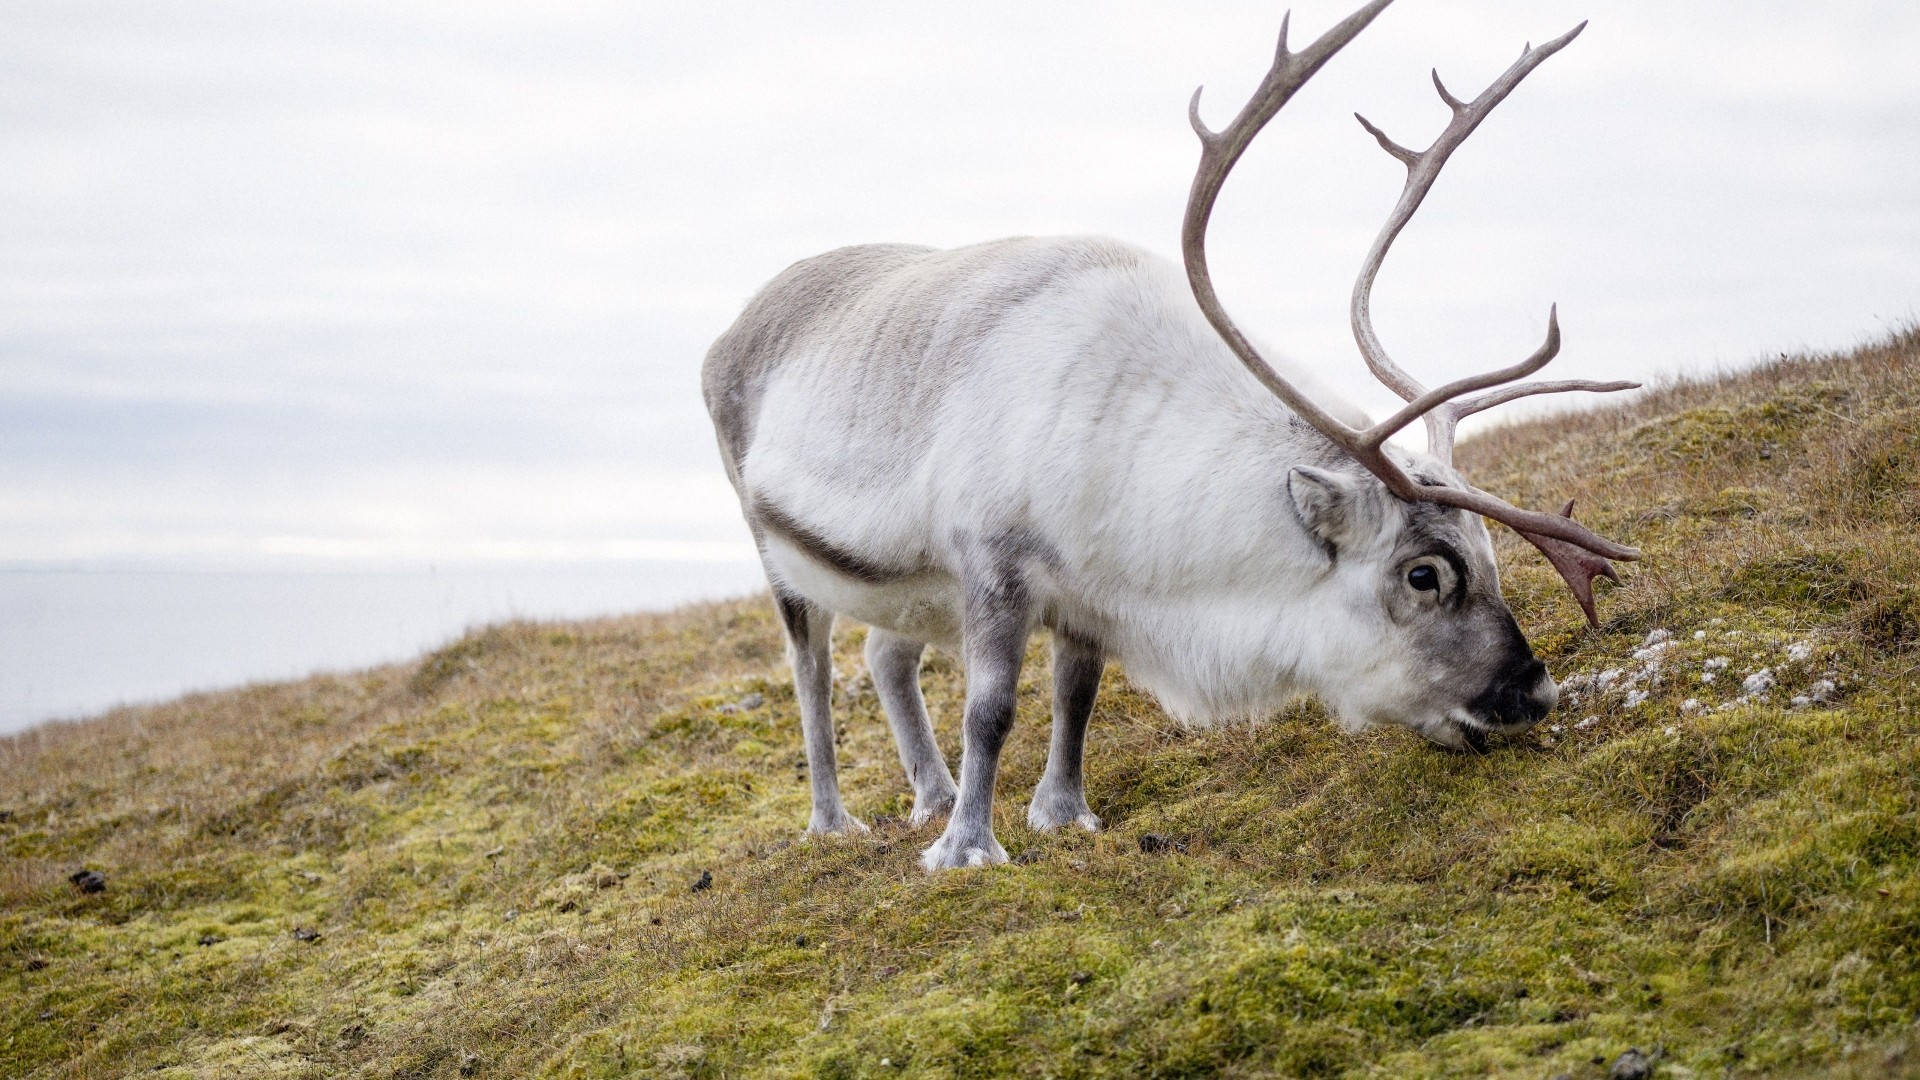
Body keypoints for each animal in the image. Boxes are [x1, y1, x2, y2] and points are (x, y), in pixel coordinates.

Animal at [701, 0, 1639, 871]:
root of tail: (732, 328)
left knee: (884, 653)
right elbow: (992, 709)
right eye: (1424, 575)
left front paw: (1062, 813)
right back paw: (836, 819)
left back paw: (928, 794)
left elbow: (1076, 695)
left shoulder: (1081, 590)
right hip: (772, 545)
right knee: (813, 672)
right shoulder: (992, 564)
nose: (1534, 693)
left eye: (1488, 554)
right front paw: (968, 848)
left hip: (909, 585)